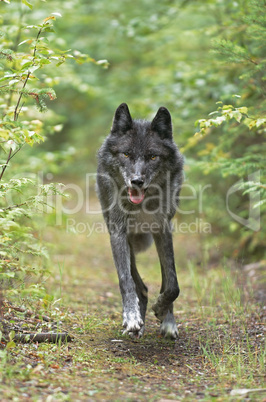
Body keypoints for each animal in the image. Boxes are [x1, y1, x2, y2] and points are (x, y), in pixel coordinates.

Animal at [96, 103, 184, 340]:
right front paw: (132, 318)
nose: (136, 181)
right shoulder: (118, 232)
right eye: (126, 154)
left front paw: (164, 313)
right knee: (140, 286)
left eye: (153, 157)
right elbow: (126, 281)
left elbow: (172, 284)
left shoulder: (163, 229)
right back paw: (138, 321)